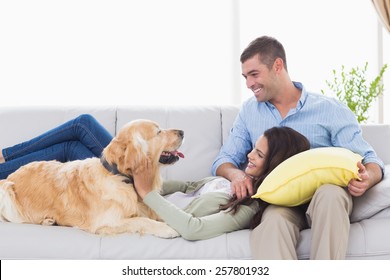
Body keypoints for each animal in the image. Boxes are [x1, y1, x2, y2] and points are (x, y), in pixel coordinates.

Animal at [0, 119, 184, 237]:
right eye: (159, 131)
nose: (182, 131)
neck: (118, 175)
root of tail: (11, 175)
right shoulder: (106, 222)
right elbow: (141, 220)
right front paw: (167, 229)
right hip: (7, 193)